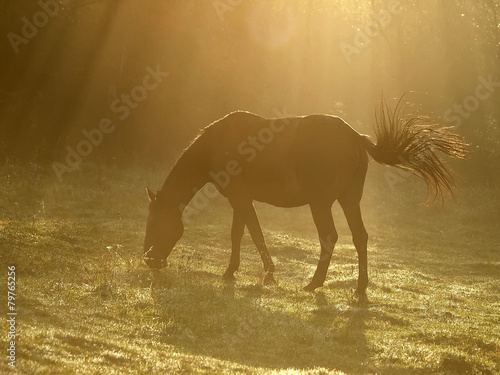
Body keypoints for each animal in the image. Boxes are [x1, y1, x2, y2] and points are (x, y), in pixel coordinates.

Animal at [142, 100, 468, 296]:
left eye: (153, 223)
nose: (150, 260)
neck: (218, 143)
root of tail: (355, 136)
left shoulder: (240, 198)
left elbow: (255, 234)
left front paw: (268, 275)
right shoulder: (240, 200)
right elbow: (239, 234)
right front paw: (231, 271)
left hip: (321, 203)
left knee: (330, 236)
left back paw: (314, 283)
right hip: (349, 200)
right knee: (360, 237)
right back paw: (360, 288)